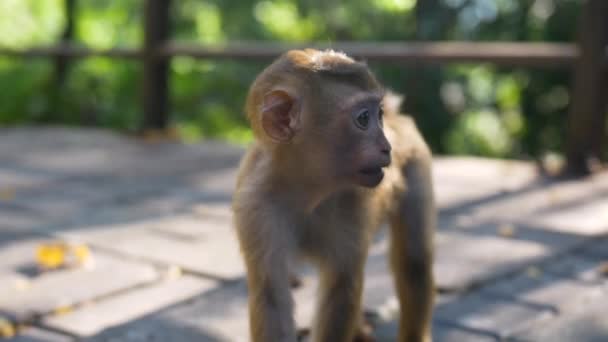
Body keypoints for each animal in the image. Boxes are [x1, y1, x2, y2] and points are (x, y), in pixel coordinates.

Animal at [233, 48, 436, 342]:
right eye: (363, 119)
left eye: (378, 115)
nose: (386, 147)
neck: (308, 188)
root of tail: (398, 117)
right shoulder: (256, 208)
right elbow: (270, 293)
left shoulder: (353, 203)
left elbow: (341, 287)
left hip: (417, 160)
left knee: (414, 261)